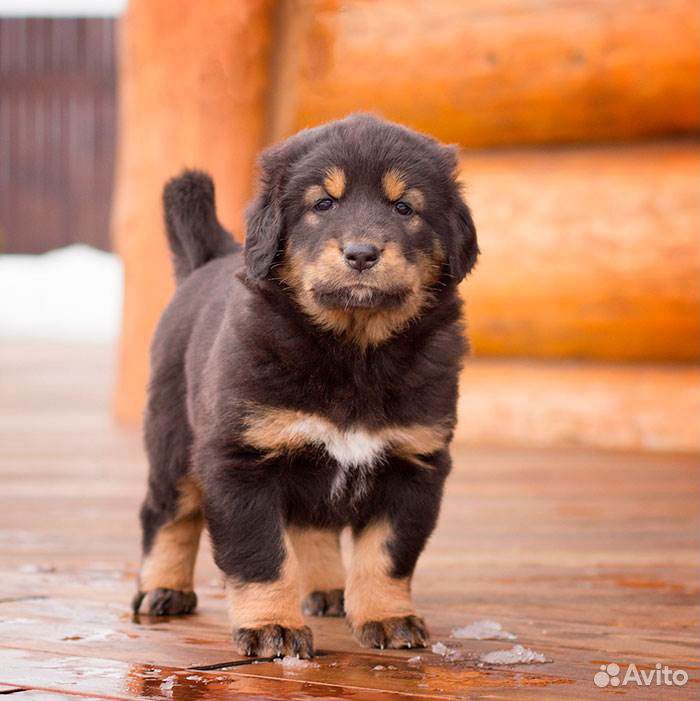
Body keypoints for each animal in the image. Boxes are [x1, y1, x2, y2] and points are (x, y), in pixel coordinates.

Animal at [133, 113, 476, 656]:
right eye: (323, 204)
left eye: (405, 207)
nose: (362, 254)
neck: (355, 351)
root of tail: (206, 260)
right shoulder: (240, 460)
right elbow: (259, 555)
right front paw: (271, 627)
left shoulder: (414, 461)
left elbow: (387, 552)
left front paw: (388, 618)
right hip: (173, 440)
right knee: (167, 514)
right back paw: (163, 589)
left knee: (311, 528)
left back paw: (329, 589)